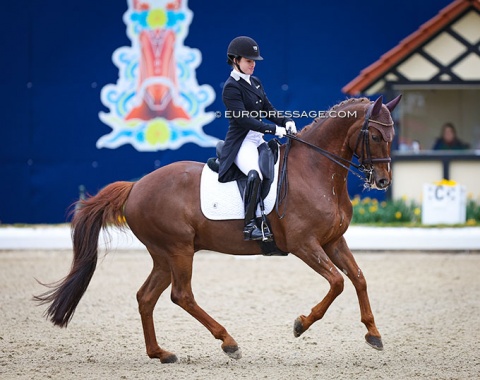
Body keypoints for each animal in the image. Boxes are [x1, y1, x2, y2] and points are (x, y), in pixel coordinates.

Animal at [34, 94, 402, 362]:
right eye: (374, 134)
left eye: (392, 135)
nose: (382, 181)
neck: (317, 171)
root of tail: (136, 186)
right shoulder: (304, 244)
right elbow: (337, 282)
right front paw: (301, 324)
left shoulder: (333, 241)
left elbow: (358, 278)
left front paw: (373, 334)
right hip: (178, 250)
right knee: (181, 295)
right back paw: (228, 342)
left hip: (163, 255)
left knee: (146, 297)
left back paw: (160, 353)